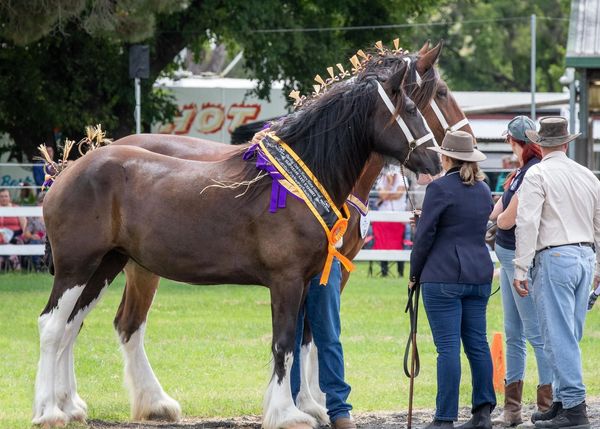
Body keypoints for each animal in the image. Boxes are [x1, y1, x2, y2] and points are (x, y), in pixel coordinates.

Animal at [32, 56, 440, 424]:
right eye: (410, 107)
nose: (436, 161)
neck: (295, 183)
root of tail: (67, 171)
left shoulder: (307, 282)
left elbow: (298, 344)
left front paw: (299, 407)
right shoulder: (286, 281)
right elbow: (283, 344)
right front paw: (288, 414)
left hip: (106, 265)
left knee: (71, 326)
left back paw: (71, 406)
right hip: (77, 268)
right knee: (53, 326)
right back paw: (49, 411)